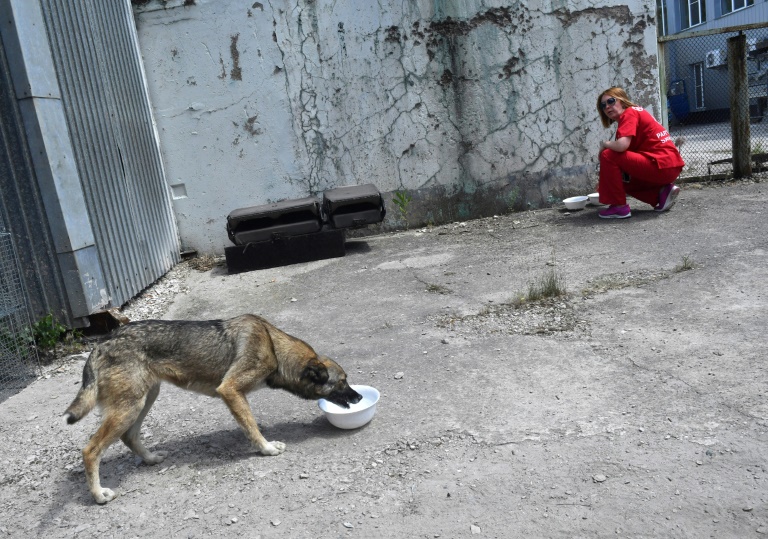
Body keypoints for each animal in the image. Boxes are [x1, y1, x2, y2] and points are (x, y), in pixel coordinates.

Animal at [64, 314, 362, 504]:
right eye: (342, 382)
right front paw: (266, 448)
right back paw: (98, 495)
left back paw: (150, 459)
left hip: (144, 400)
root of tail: (103, 342)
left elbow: (250, 424)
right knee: (90, 450)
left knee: (129, 436)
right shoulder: (230, 390)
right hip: (130, 407)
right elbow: (251, 426)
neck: (273, 347)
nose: (359, 397)